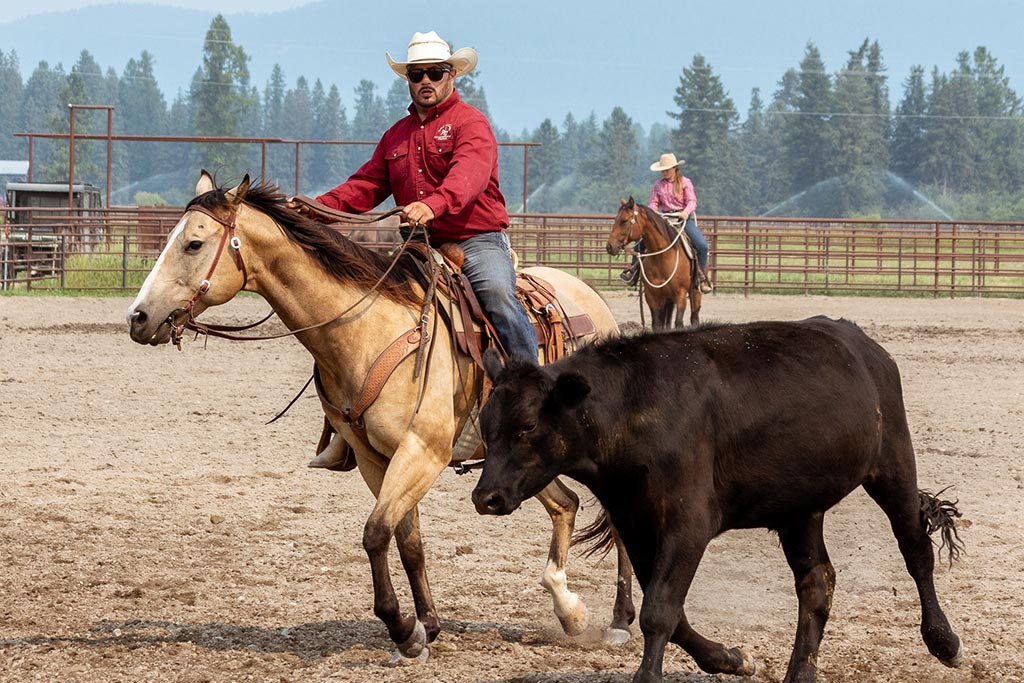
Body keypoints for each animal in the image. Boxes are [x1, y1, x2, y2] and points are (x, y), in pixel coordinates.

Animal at [124, 174, 634, 663]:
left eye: (194, 244)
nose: (138, 317)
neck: (367, 331)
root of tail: (593, 300)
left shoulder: (422, 452)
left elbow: (375, 533)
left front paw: (402, 630)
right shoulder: (376, 459)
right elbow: (407, 540)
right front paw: (426, 627)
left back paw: (621, 620)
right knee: (565, 505)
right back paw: (569, 611)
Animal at [475, 321, 962, 683]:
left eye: (527, 426)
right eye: (486, 424)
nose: (486, 496)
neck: (633, 408)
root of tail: (863, 345)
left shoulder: (689, 524)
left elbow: (659, 611)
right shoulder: (636, 524)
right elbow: (672, 613)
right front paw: (731, 658)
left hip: (893, 464)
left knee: (916, 550)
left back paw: (945, 641)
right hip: (800, 510)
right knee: (817, 582)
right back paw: (800, 672)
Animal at [602, 196, 700, 329]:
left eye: (624, 221)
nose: (610, 247)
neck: (663, 258)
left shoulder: (680, 294)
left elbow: (679, 322)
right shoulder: (651, 296)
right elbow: (657, 324)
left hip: (694, 292)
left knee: (694, 316)